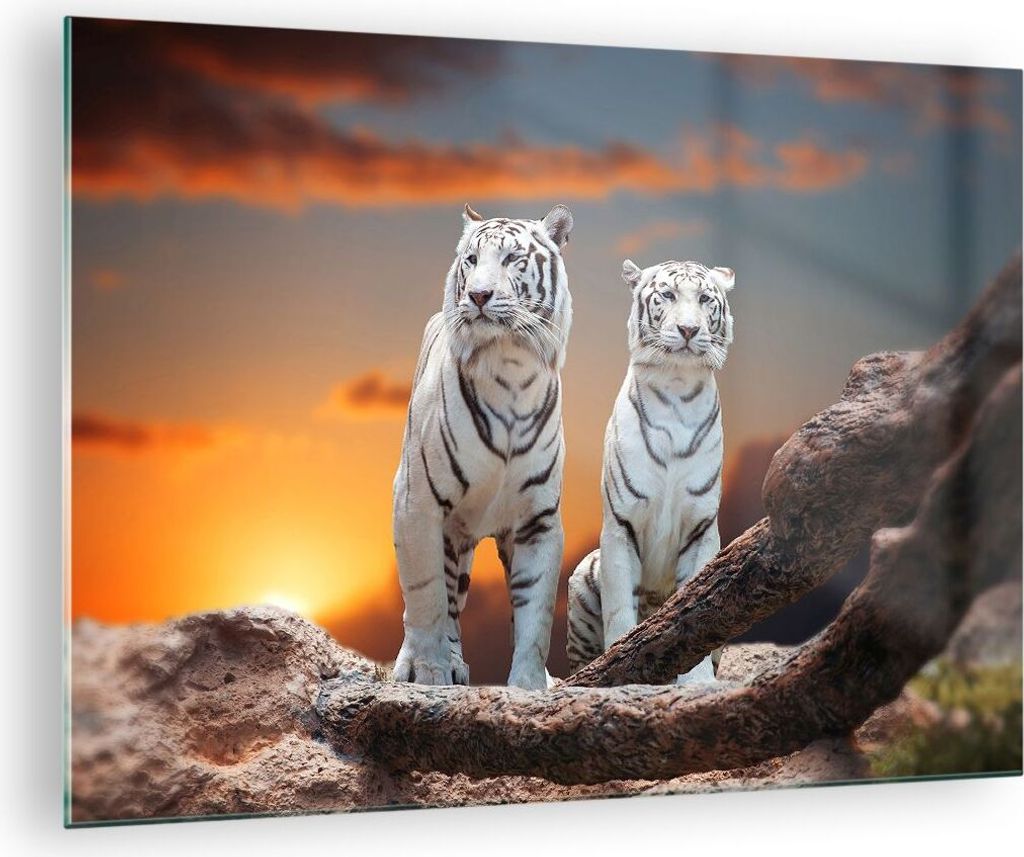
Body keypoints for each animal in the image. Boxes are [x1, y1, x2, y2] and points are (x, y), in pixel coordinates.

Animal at [392, 203, 574, 690]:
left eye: (513, 259)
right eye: (471, 261)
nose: (478, 295)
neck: (510, 365)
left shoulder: (538, 518)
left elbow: (536, 612)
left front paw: (530, 685)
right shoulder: (417, 502)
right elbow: (426, 597)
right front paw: (427, 671)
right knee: (445, 600)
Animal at [566, 257, 735, 684]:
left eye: (705, 299)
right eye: (668, 295)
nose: (689, 329)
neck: (677, 387)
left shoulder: (702, 527)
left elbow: (698, 608)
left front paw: (697, 683)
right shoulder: (620, 524)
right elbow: (619, 610)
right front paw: (619, 666)